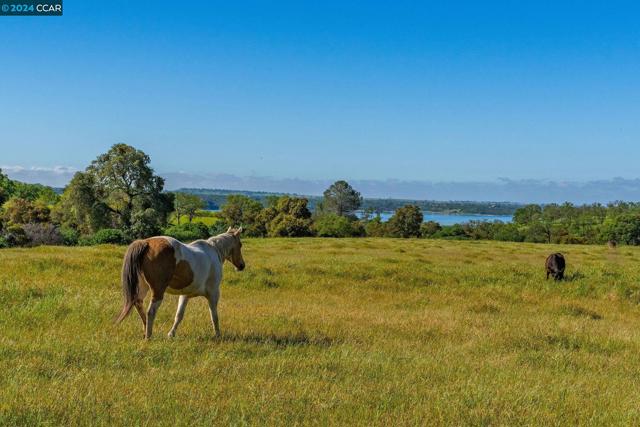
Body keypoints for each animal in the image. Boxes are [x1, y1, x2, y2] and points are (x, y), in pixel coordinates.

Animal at [115, 226, 245, 340]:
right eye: (240, 244)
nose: (241, 265)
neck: (214, 250)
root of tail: (146, 243)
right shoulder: (213, 293)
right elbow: (214, 316)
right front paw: (218, 335)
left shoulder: (185, 295)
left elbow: (179, 315)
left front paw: (171, 334)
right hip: (158, 291)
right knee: (150, 312)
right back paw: (148, 336)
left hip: (143, 287)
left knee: (138, 303)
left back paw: (145, 330)